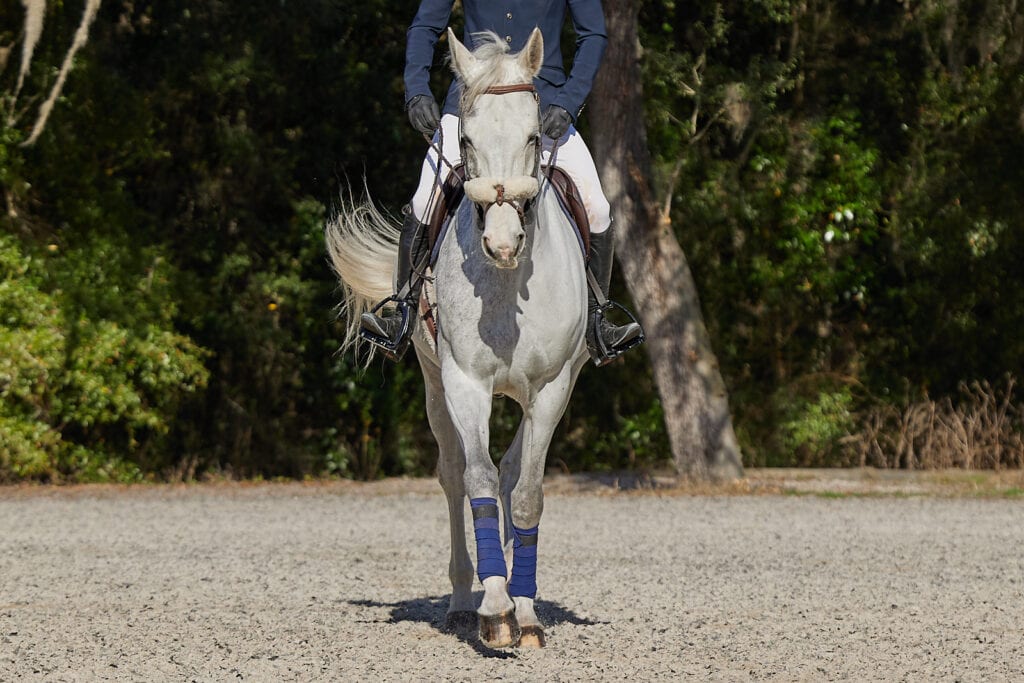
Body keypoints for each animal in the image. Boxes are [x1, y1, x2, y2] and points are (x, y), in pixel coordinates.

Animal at [323, 29, 589, 651]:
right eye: (465, 139)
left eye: (535, 135)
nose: (502, 243)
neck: (508, 288)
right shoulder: (465, 383)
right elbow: (477, 480)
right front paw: (494, 609)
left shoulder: (552, 389)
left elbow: (526, 492)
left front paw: (526, 610)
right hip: (431, 381)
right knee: (453, 476)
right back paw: (464, 599)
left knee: (511, 473)